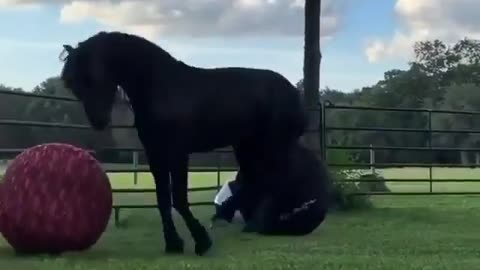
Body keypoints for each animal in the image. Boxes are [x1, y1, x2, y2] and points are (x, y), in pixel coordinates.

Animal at [60, 30, 308, 256]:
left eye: (93, 76)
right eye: (73, 84)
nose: (99, 121)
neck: (161, 86)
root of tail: (292, 92)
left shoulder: (178, 153)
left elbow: (178, 197)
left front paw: (201, 241)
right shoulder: (156, 154)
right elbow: (162, 198)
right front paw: (173, 243)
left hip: (272, 145)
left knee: (277, 180)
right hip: (247, 147)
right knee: (256, 180)